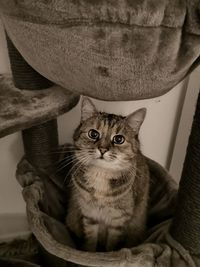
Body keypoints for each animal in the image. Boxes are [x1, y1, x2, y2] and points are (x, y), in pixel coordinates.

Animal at [65, 97, 150, 252]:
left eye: (119, 139)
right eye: (93, 134)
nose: (103, 149)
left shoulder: (118, 221)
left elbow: (111, 246)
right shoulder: (90, 215)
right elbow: (91, 240)